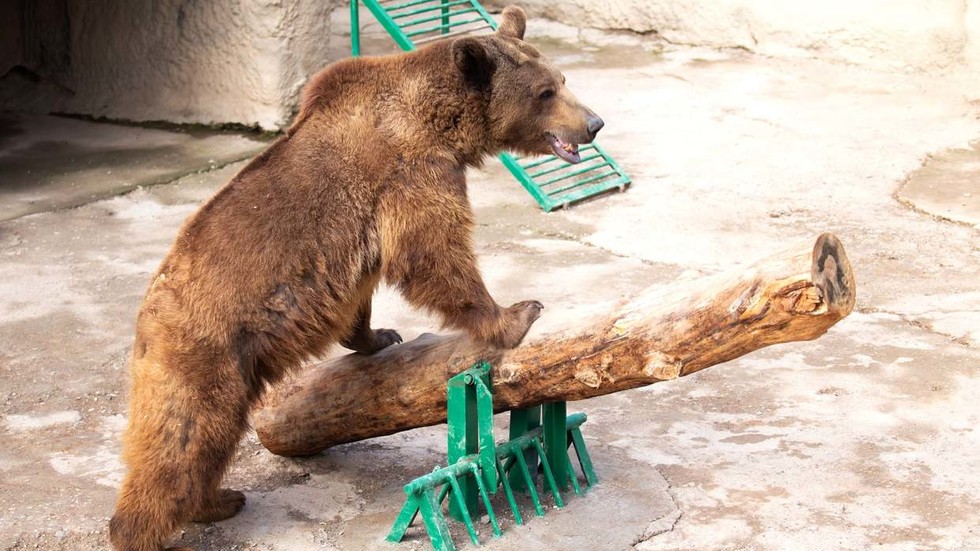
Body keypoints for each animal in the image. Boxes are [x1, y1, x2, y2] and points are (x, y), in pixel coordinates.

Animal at [108, 6, 604, 551]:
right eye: (545, 92)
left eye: (562, 80)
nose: (594, 123)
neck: (439, 123)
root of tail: (146, 314)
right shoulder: (412, 172)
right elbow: (432, 253)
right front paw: (516, 314)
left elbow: (368, 289)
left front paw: (380, 335)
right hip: (205, 349)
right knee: (185, 436)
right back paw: (145, 526)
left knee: (210, 439)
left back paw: (217, 500)